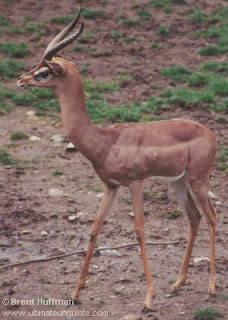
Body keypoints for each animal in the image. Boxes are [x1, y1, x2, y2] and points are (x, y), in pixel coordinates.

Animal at [17, 8, 217, 312]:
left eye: (43, 71)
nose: (20, 80)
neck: (105, 141)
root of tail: (212, 134)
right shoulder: (110, 186)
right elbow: (94, 229)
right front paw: (75, 293)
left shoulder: (134, 183)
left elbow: (140, 231)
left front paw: (147, 299)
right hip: (178, 183)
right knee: (194, 218)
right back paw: (176, 285)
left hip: (198, 180)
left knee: (212, 218)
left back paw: (211, 288)